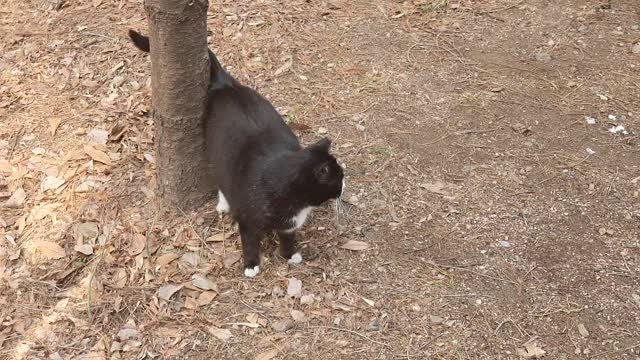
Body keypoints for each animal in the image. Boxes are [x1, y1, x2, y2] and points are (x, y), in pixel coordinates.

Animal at [126, 31, 344, 278]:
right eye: (338, 178)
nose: (344, 186)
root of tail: (226, 85)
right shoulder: (247, 221)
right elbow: (249, 242)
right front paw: (251, 265)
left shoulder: (289, 225)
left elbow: (288, 238)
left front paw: (290, 255)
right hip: (215, 154)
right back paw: (223, 204)